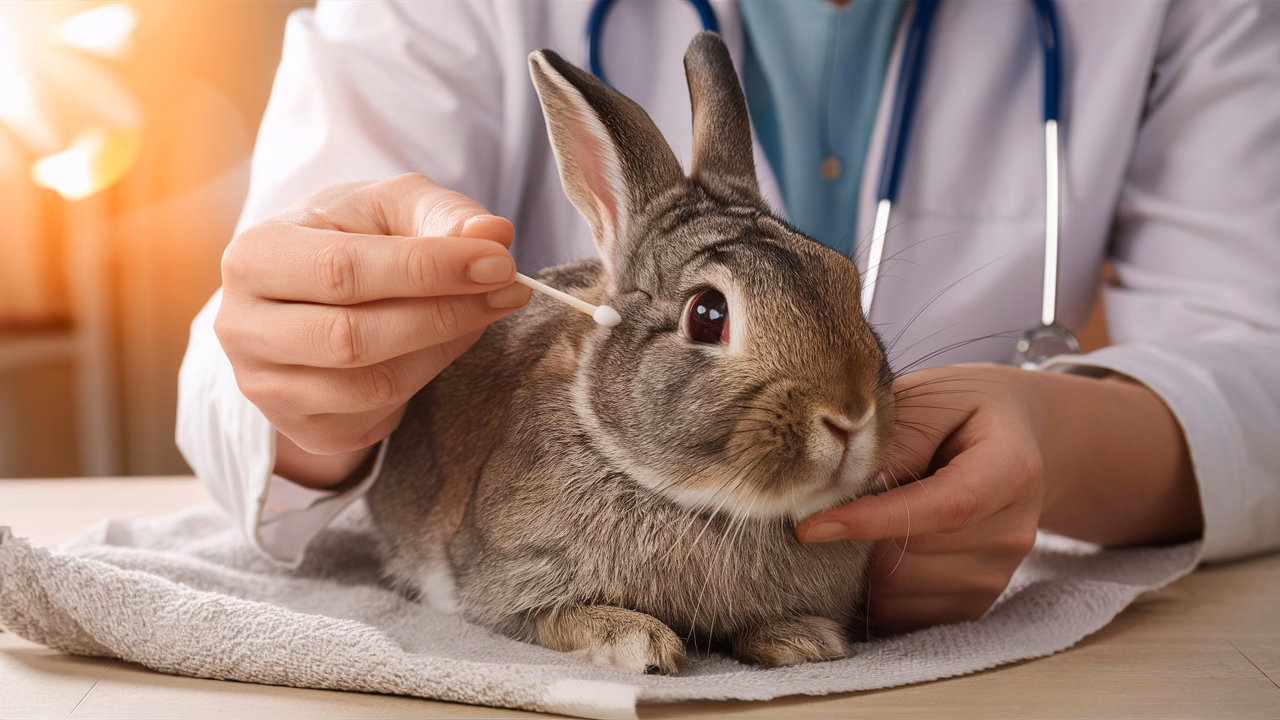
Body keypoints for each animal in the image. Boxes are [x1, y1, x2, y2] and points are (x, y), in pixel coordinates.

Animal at [366, 32, 895, 675]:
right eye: (708, 315)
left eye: (844, 279)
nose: (850, 415)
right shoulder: (505, 584)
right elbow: (552, 618)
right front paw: (637, 642)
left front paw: (803, 639)